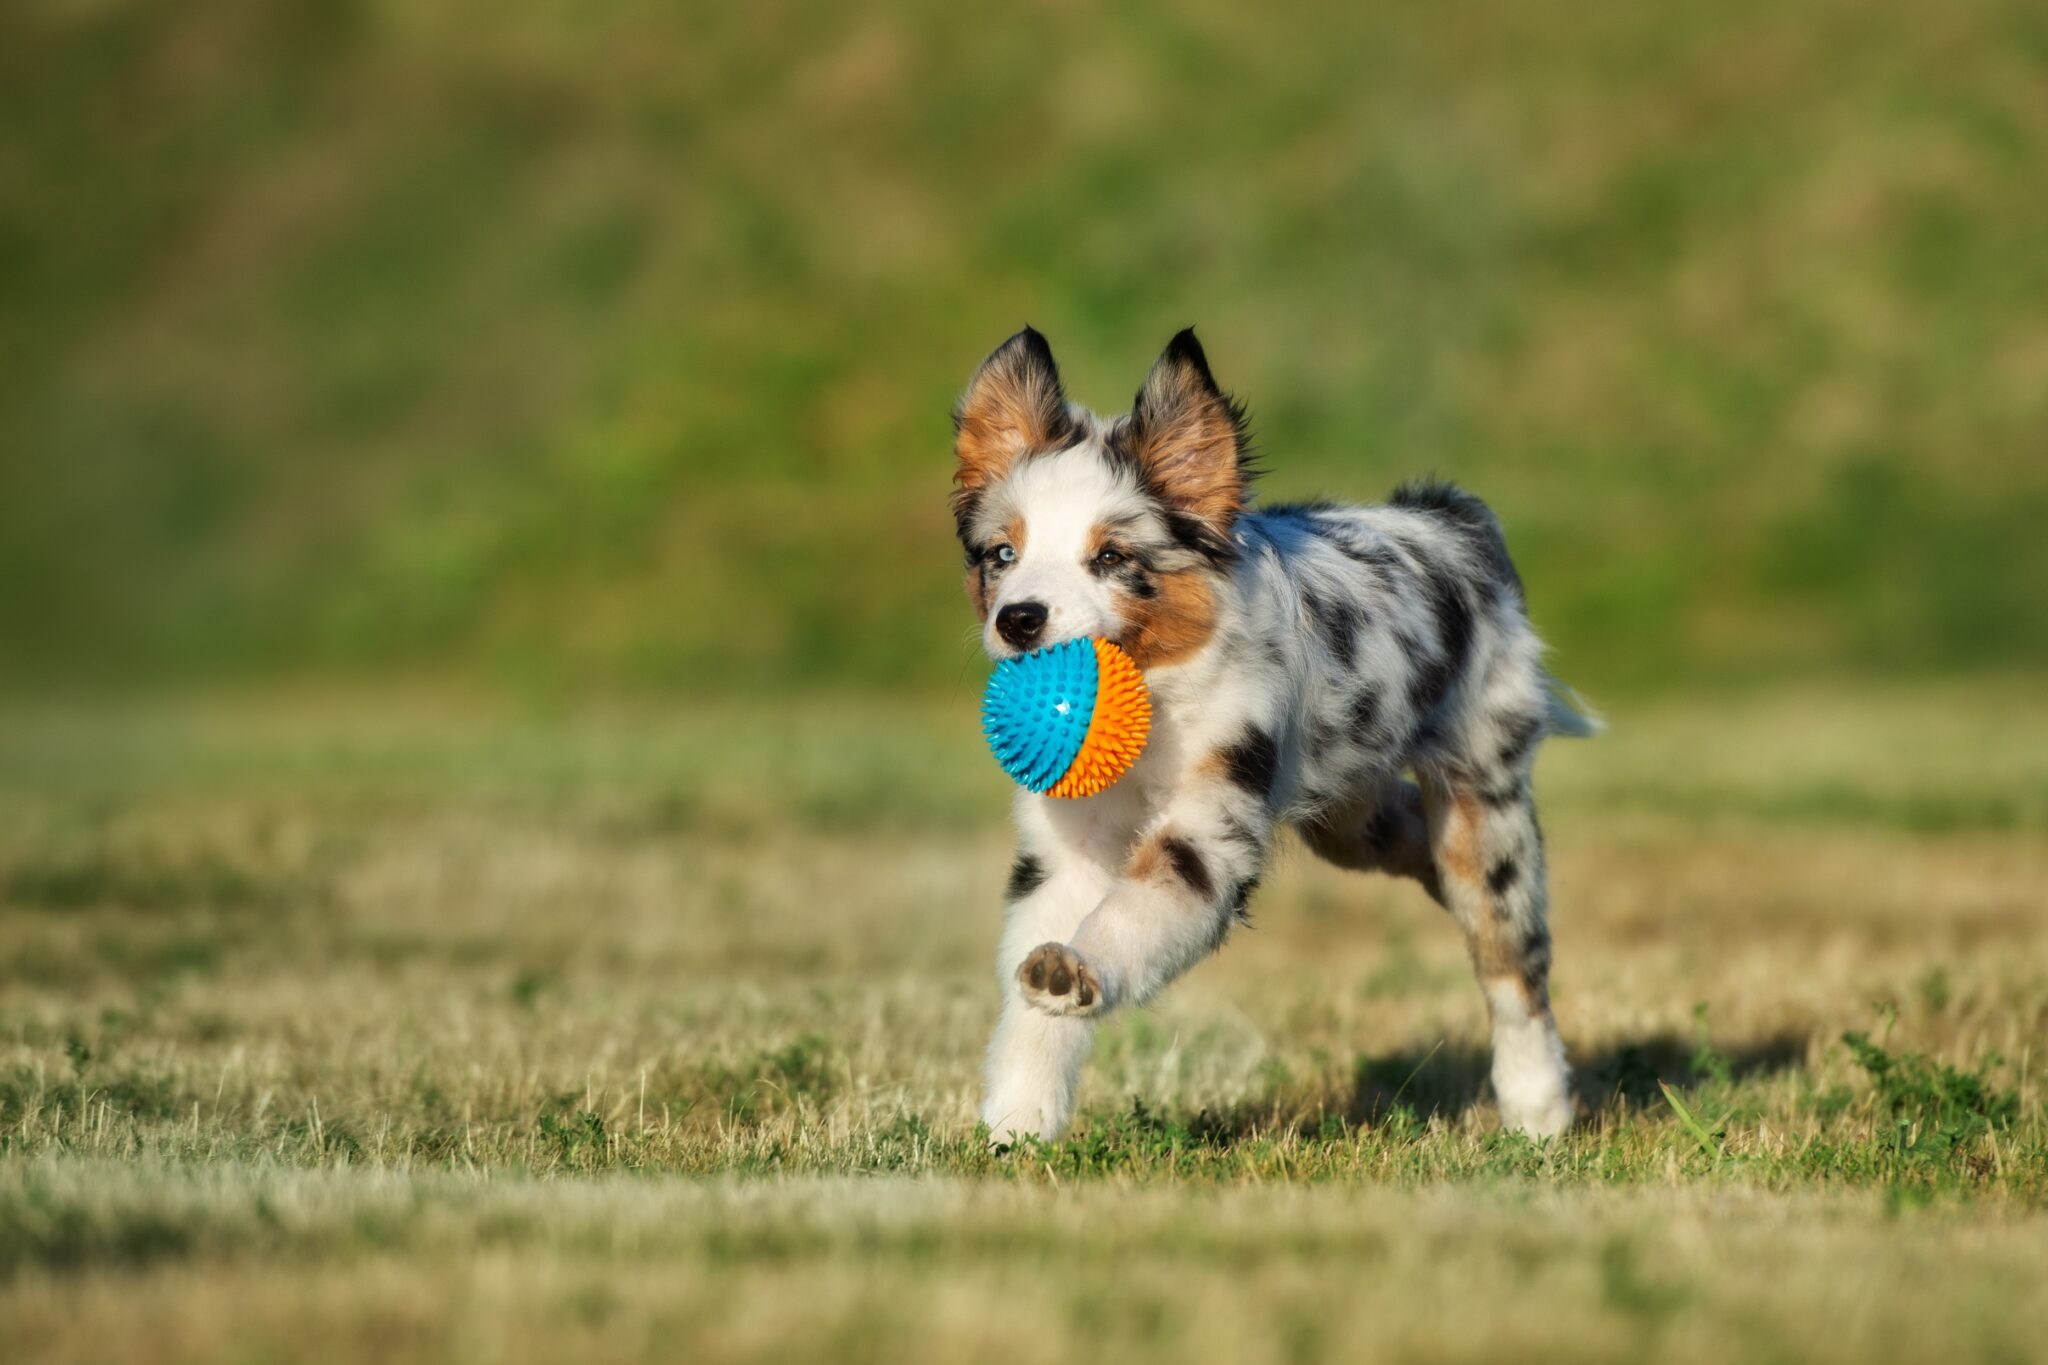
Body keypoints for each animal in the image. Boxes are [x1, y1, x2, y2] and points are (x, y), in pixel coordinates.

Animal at [950, 327, 1589, 1146]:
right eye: (1003, 555)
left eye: (1111, 558)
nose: (1019, 619)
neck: (1156, 696)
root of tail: (1449, 518)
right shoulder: (1066, 846)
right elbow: (1035, 999)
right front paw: (1017, 1122)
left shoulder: (1208, 826)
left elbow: (1138, 906)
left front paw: (1076, 970)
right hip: (1353, 813)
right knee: (1415, 840)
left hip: (1485, 798)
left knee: (1510, 960)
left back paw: (1538, 1107)